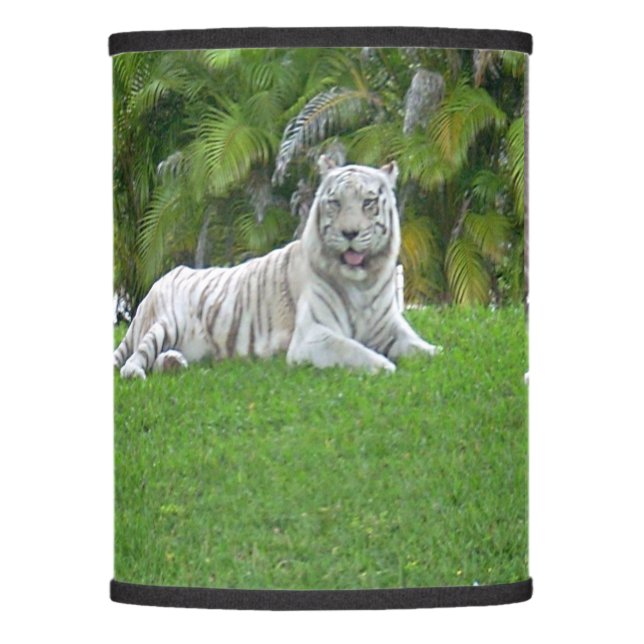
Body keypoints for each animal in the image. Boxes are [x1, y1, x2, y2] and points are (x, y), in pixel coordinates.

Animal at [114, 157, 440, 379]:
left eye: (368, 202)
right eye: (335, 202)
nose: (350, 233)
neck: (362, 281)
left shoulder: (390, 326)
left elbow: (420, 347)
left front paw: (436, 353)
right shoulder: (313, 336)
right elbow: (354, 350)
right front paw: (385, 365)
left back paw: (172, 363)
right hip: (165, 323)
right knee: (136, 357)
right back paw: (137, 371)